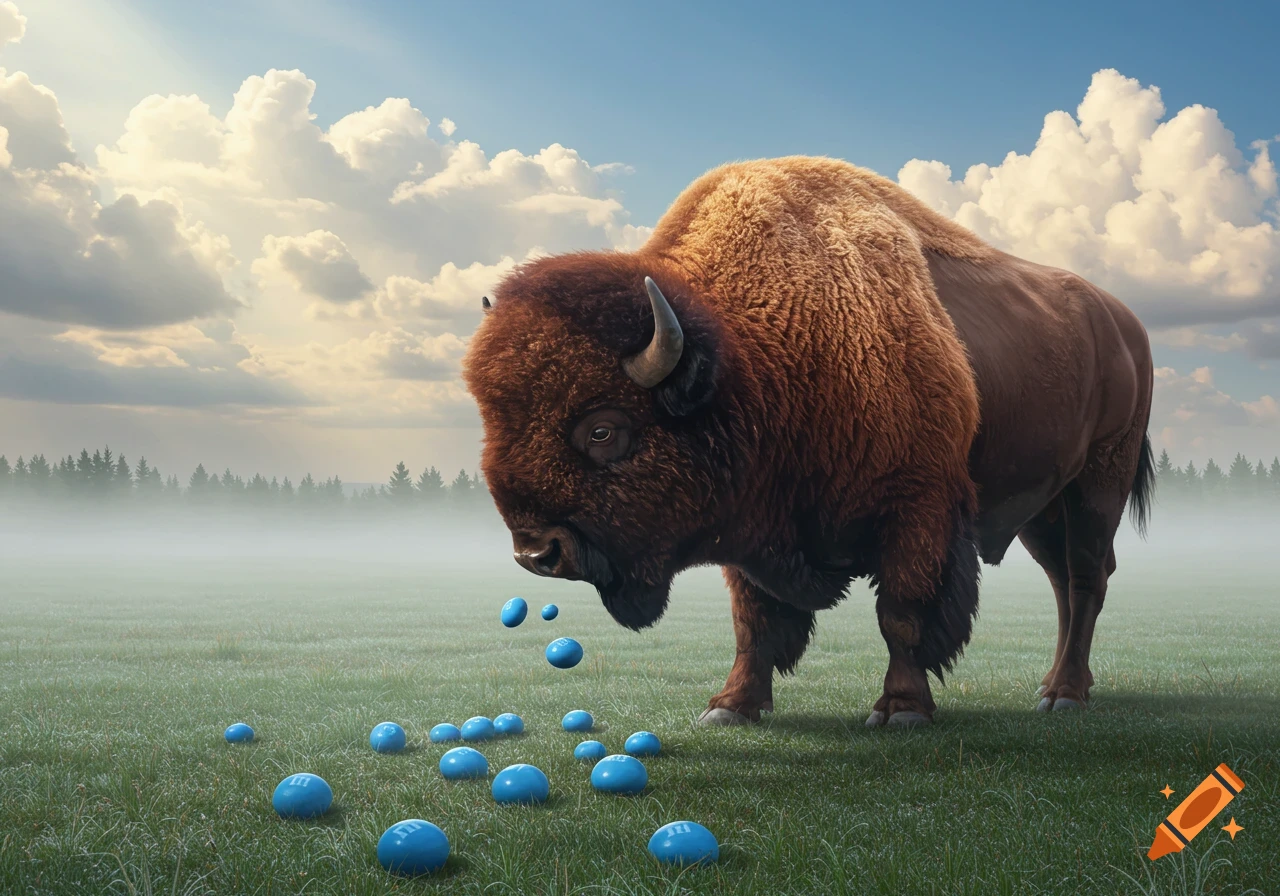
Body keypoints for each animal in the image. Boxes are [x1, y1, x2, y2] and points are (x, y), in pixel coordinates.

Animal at [462, 156, 1154, 728]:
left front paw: (900, 710)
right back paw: (1052, 687)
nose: (537, 553)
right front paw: (731, 707)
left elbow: (902, 613)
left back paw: (1064, 695)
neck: (753, 358)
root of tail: (1124, 322)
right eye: (492, 422)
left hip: (1100, 482)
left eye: (604, 429)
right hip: (1042, 503)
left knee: (1087, 577)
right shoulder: (751, 530)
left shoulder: (918, 510)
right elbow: (753, 622)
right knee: (1062, 582)